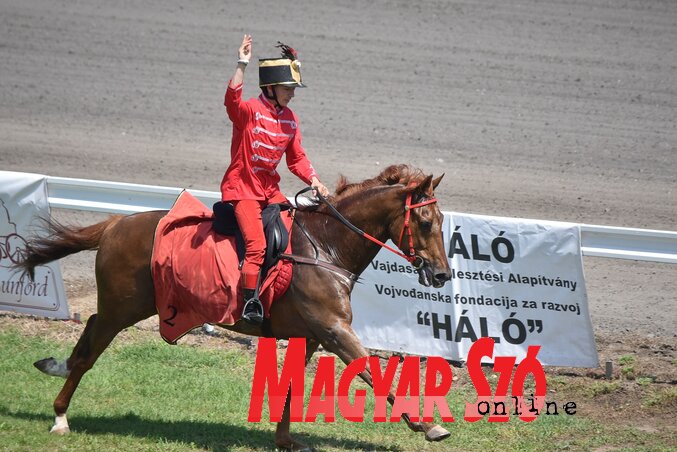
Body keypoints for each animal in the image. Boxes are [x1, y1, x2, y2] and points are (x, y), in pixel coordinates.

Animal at [15, 164, 452, 450]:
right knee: (89, 352)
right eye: (425, 223)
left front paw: (285, 439)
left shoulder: (309, 335)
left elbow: (291, 384)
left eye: (441, 221)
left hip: (122, 308)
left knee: (87, 331)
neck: (324, 247)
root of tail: (114, 224)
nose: (442, 274)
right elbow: (374, 372)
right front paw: (428, 425)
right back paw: (60, 416)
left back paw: (54, 368)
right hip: (121, 309)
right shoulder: (334, 330)